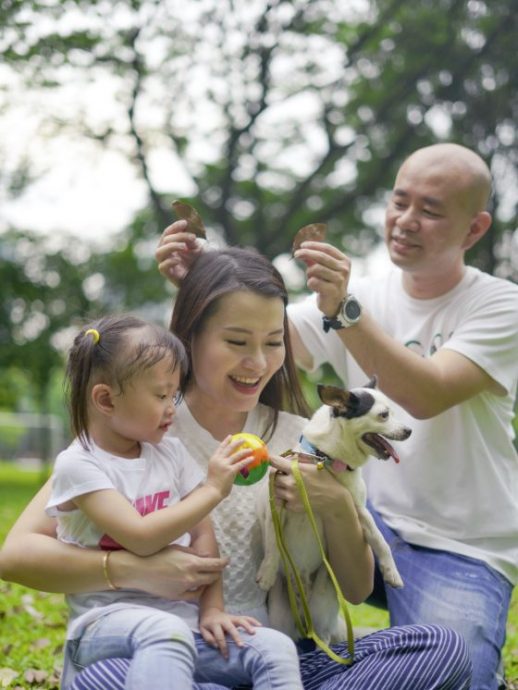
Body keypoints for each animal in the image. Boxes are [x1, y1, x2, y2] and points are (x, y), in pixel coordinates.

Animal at [258, 376, 412, 640]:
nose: (408, 430)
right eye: (383, 415)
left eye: (392, 412)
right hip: (280, 616)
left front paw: (392, 572)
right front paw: (267, 572)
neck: (326, 460)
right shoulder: (276, 506)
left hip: (322, 605)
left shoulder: (356, 509)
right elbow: (272, 542)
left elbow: (379, 540)